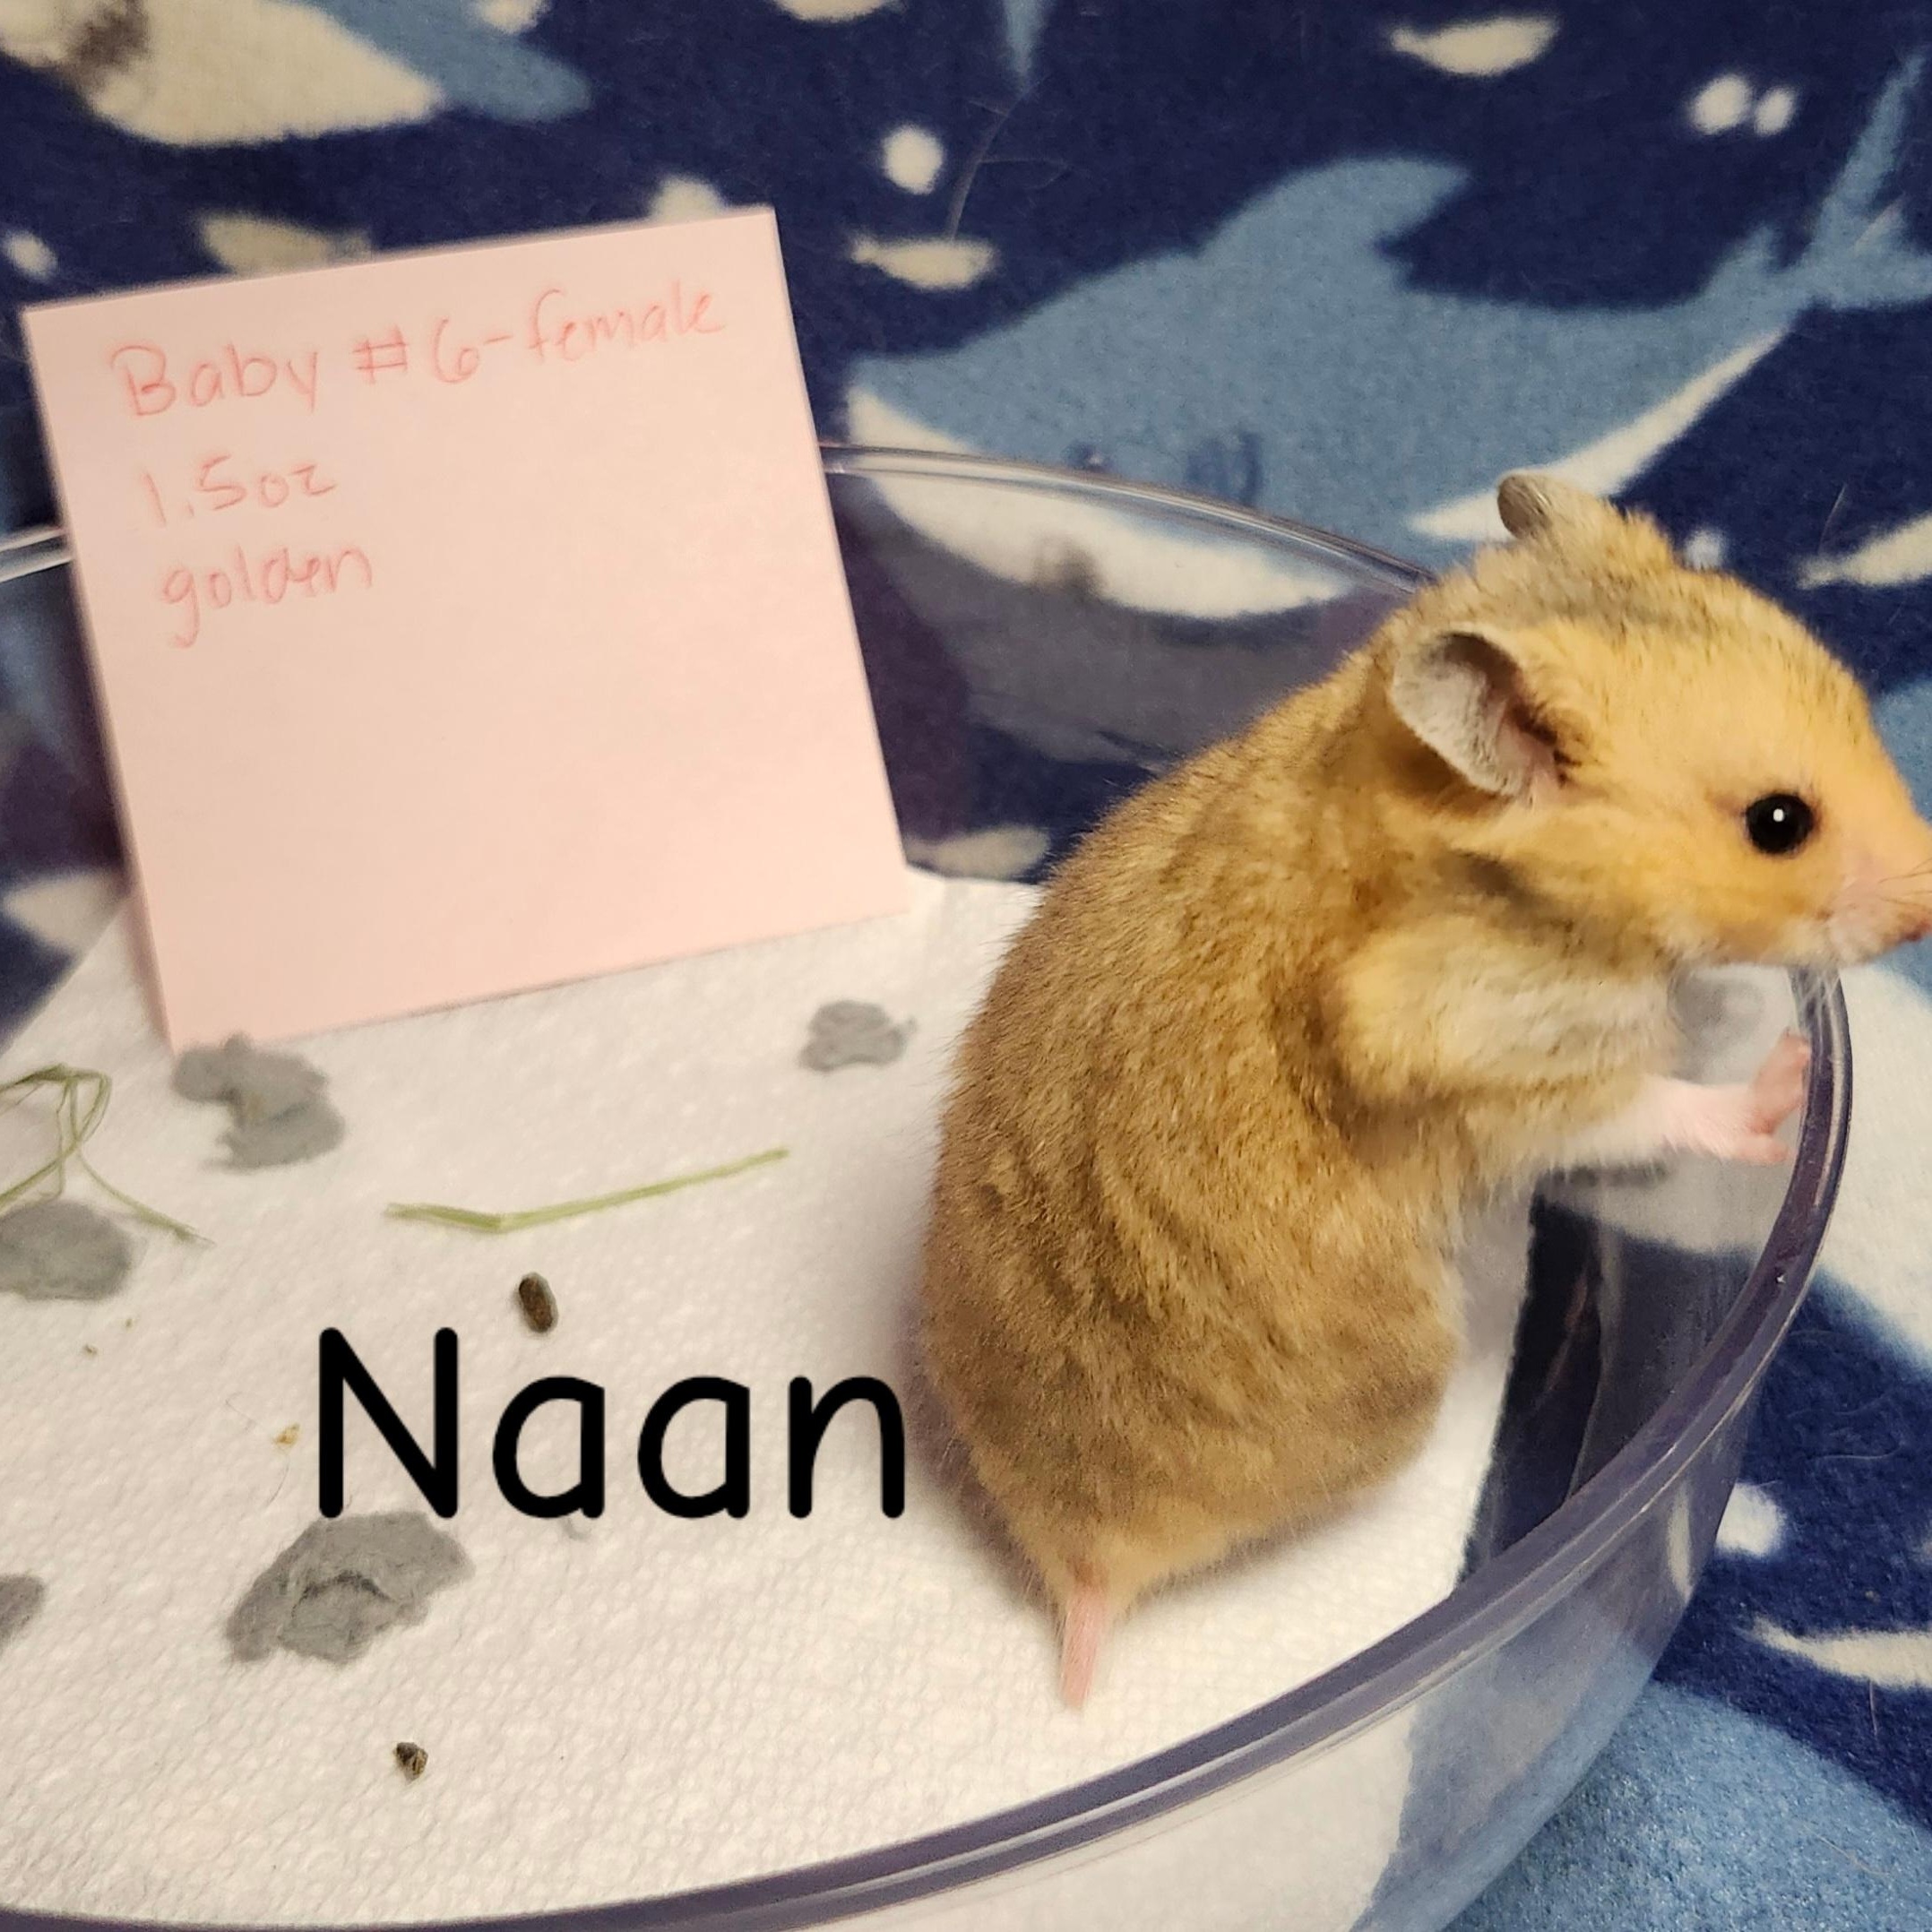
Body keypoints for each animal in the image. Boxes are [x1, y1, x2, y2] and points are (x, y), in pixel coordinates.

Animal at [920, 474, 1932, 1708]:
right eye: (1777, 823)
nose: (1928, 906)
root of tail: (1074, 1561)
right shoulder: (1490, 1051)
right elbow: (1640, 1101)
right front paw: (1778, 1075)